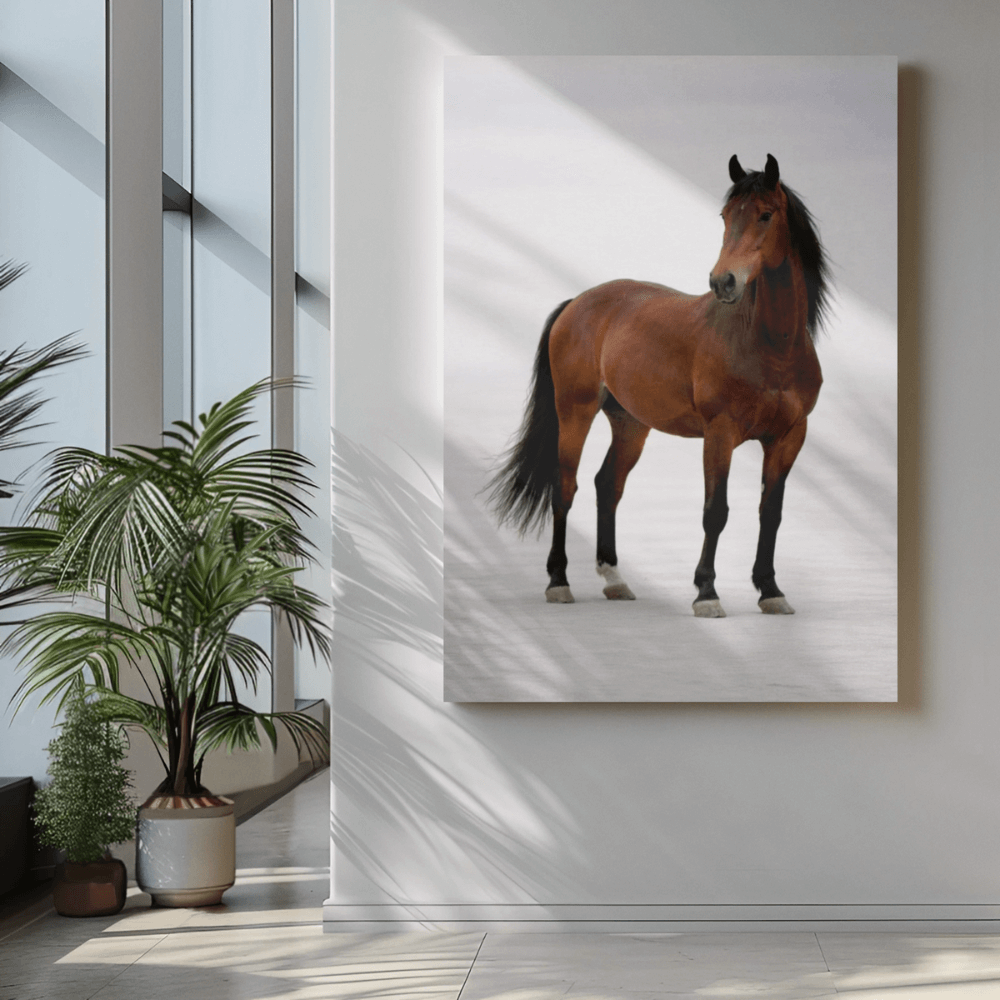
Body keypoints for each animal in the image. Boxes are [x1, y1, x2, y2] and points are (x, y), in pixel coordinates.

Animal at [486, 154, 829, 617]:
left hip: (631, 424)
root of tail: (577, 303)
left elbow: (770, 513)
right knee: (566, 487)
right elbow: (715, 511)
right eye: (725, 216)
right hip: (574, 412)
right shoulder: (720, 434)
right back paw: (558, 582)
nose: (722, 282)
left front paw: (771, 590)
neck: (770, 348)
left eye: (765, 215)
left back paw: (615, 580)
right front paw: (706, 593)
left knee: (607, 485)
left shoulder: (789, 437)